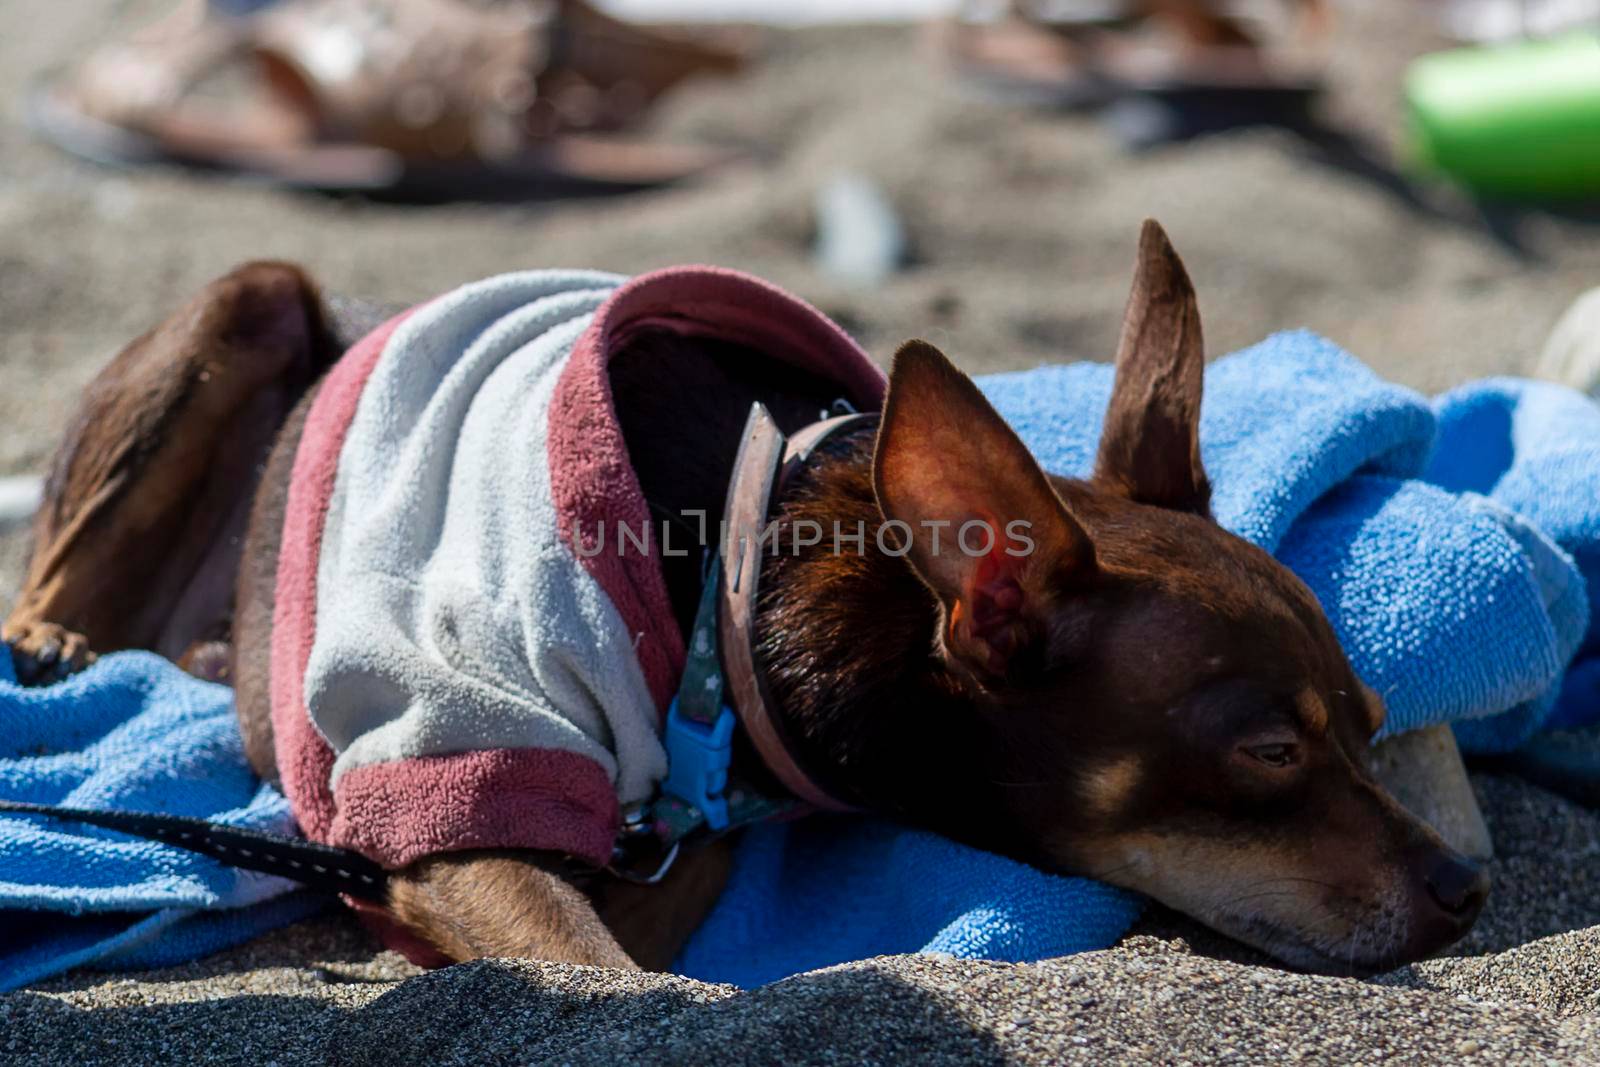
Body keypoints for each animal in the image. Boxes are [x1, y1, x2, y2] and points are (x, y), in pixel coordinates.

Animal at [3, 223, 1484, 979]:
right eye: (1271, 754)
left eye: (1371, 721)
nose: (1471, 884)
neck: (746, 566)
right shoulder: (451, 793)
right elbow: (608, 977)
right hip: (245, 304)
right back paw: (56, 633)